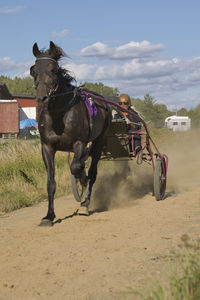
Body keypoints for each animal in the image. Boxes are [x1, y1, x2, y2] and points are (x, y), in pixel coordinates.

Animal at [29, 41, 111, 225]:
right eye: (33, 70)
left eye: (53, 69)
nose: (41, 98)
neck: (59, 115)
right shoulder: (47, 146)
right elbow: (51, 183)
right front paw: (49, 216)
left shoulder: (79, 142)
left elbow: (76, 168)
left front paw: (83, 182)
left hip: (99, 141)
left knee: (93, 172)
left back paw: (85, 202)